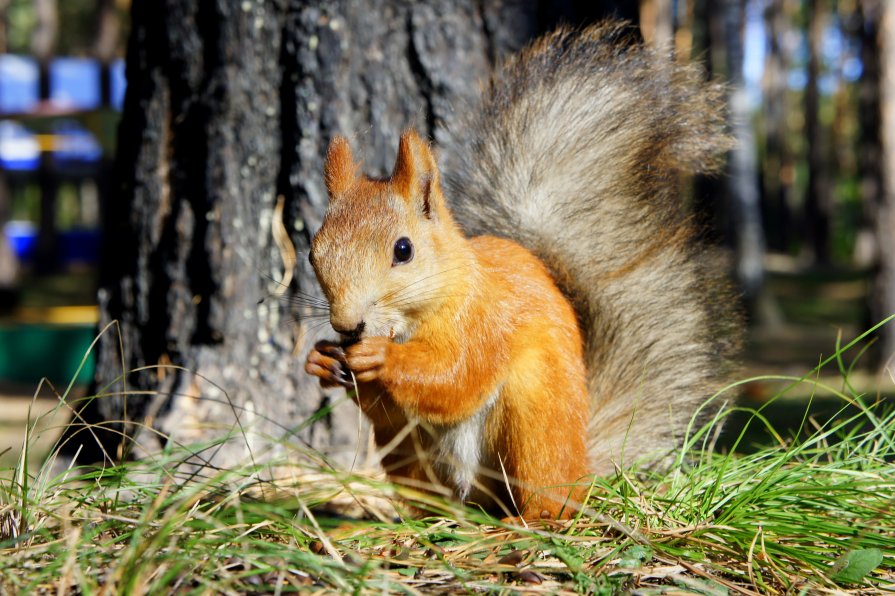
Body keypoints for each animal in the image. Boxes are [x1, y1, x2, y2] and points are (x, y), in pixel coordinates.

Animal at [304, 21, 740, 520]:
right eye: (313, 254)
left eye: (403, 249)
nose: (348, 326)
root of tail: (584, 464)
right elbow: (389, 409)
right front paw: (321, 359)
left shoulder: (486, 321)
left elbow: (456, 378)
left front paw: (383, 359)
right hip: (412, 457)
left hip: (535, 418)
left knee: (549, 497)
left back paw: (526, 521)